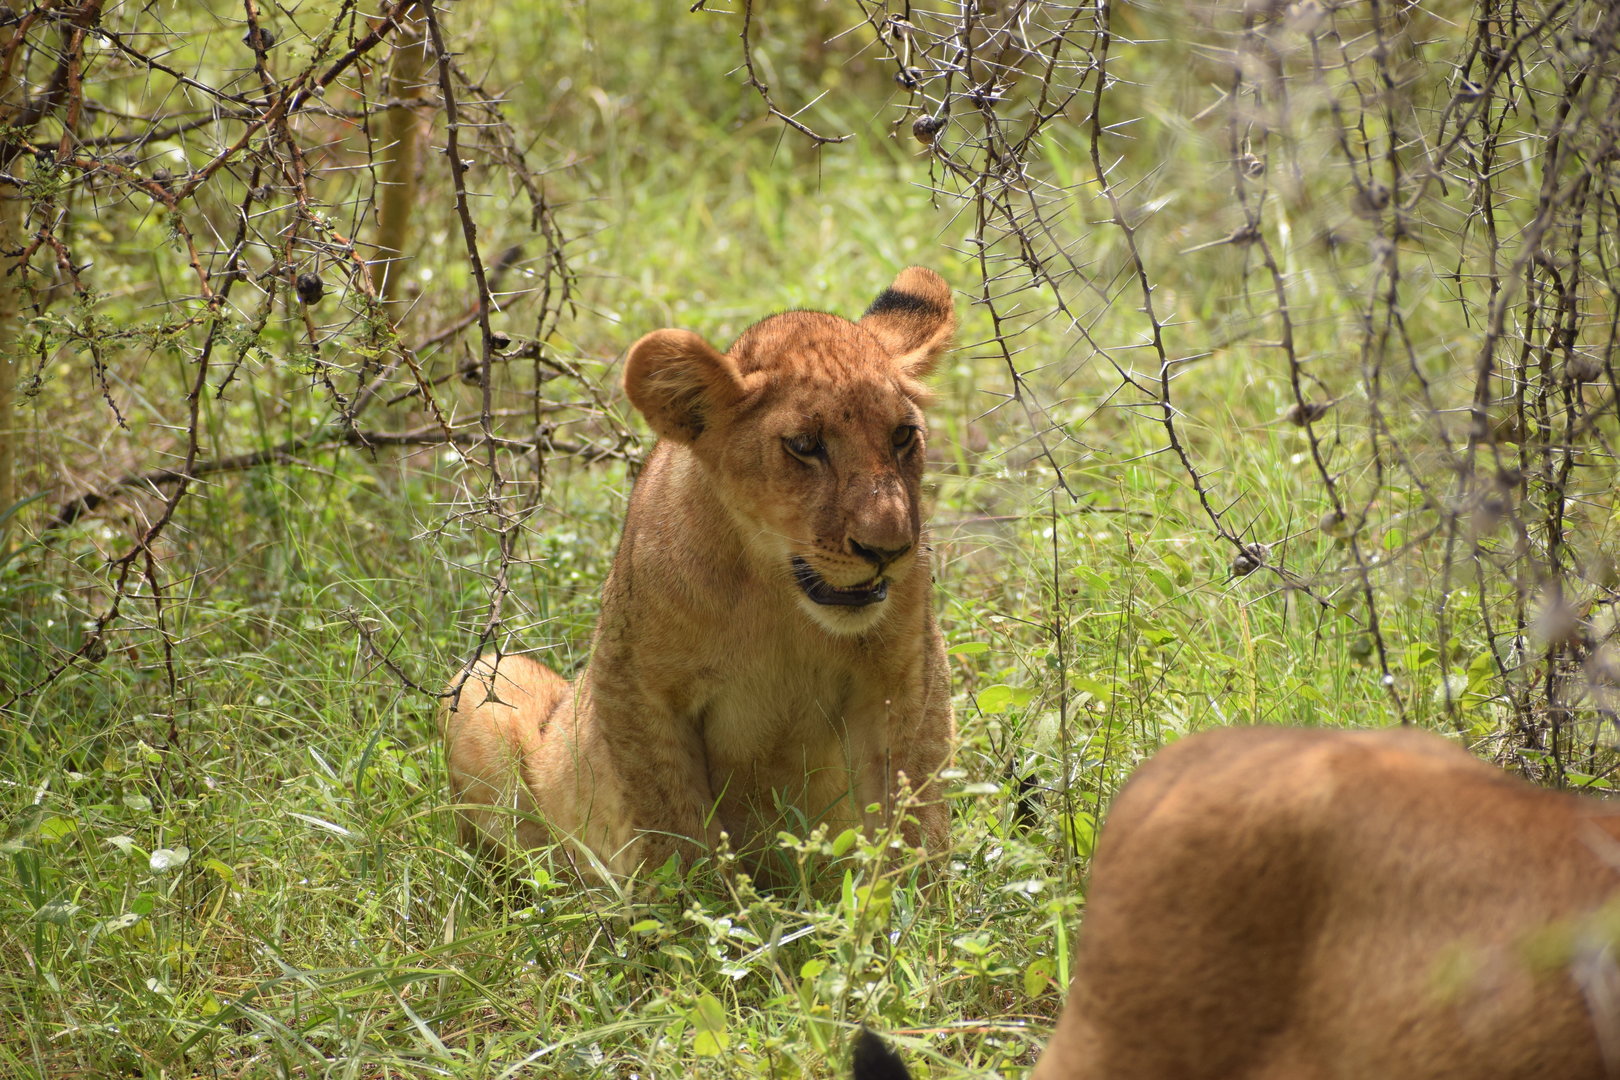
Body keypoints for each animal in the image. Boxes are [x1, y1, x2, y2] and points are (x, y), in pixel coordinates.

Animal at [440, 267, 958, 882]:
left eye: (902, 436)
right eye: (805, 446)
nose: (890, 549)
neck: (776, 594)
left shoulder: (902, 677)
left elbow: (914, 813)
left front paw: (912, 906)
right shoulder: (638, 686)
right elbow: (672, 827)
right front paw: (703, 905)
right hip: (484, 681)